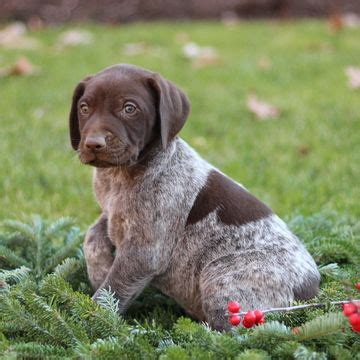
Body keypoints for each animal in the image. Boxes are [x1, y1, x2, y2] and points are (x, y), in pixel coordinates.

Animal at [69, 64, 320, 330]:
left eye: (129, 108)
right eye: (84, 108)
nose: (93, 143)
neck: (120, 177)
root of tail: (311, 289)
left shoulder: (144, 253)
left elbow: (112, 289)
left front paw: (91, 316)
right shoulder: (111, 210)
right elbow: (93, 234)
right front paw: (98, 269)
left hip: (222, 276)